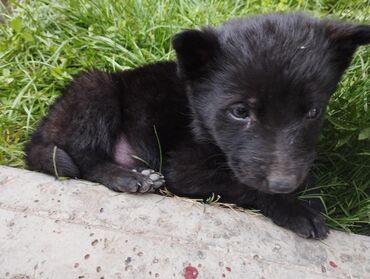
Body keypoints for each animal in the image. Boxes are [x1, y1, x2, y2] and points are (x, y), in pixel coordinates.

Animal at [24, 13, 368, 240]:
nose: (284, 183)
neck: (198, 115)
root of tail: (39, 133)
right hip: (94, 88)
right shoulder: (185, 169)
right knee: (83, 159)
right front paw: (294, 208)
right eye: (240, 111)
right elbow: (243, 185)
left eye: (313, 112)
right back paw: (128, 177)